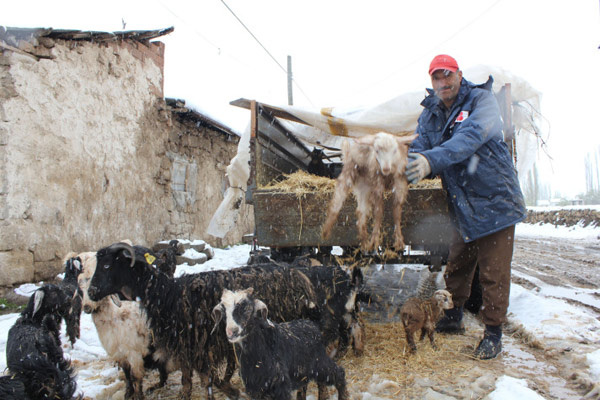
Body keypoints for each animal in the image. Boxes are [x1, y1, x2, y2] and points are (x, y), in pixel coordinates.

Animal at [76, 252, 172, 398]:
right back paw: (156, 386)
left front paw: (138, 396)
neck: (114, 319)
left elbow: (136, 376)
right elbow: (127, 375)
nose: (87, 307)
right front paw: (128, 393)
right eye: (80, 287)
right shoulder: (120, 355)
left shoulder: (134, 353)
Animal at [87, 241, 318, 400]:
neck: (169, 296)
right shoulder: (188, 345)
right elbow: (188, 376)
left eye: (107, 265)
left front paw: (229, 390)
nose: (91, 291)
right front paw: (190, 393)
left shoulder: (203, 345)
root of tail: (300, 277)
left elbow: (206, 377)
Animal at [213, 288, 350, 400]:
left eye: (247, 309)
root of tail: (314, 325)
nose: (232, 331)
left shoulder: (281, 386)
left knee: (339, 373)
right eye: (224, 312)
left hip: (320, 364)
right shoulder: (256, 389)